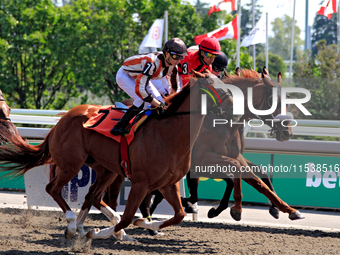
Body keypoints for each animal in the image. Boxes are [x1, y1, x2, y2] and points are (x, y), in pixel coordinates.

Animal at [0, 72, 234, 241]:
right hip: (71, 164)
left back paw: (85, 227)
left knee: (93, 196)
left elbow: (179, 215)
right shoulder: (141, 182)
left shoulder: (169, 183)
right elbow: (129, 216)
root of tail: (61, 121)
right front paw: (101, 232)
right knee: (53, 189)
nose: (233, 107)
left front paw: (146, 224)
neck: (168, 134)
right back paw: (73, 224)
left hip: (106, 169)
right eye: (213, 87)